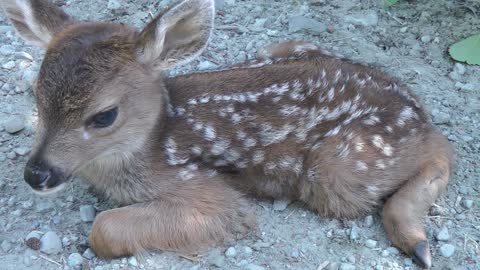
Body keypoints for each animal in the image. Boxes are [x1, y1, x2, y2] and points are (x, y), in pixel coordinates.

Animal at [2, 0, 454, 266]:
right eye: (36, 96)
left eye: (104, 116)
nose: (36, 174)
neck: (150, 145)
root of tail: (413, 106)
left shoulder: (206, 192)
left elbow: (103, 229)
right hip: (283, 49)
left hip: (339, 168)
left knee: (442, 149)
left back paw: (416, 241)